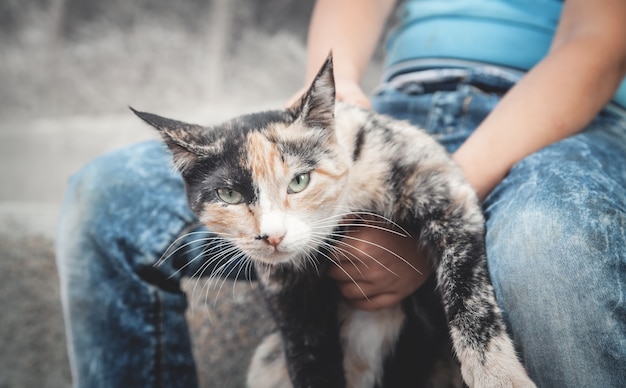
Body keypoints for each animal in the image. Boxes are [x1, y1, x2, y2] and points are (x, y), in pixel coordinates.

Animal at [132, 55, 532, 388]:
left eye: (299, 181)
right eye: (229, 195)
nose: (272, 236)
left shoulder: (445, 188)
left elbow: (470, 296)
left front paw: (499, 377)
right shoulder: (289, 295)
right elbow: (310, 359)